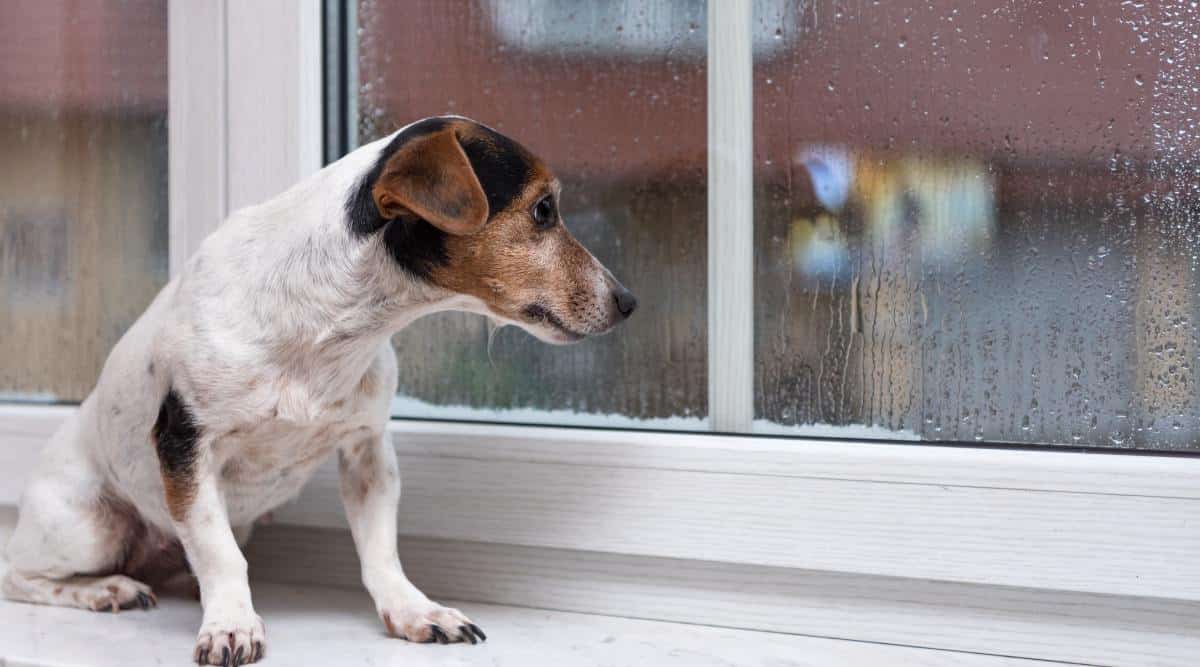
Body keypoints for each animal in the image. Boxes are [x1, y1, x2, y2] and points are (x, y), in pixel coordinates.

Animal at [0, 116, 638, 662]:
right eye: (543, 210)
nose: (629, 302)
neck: (333, 324)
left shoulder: (367, 451)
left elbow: (381, 552)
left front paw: (415, 612)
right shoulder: (186, 445)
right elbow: (219, 553)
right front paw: (231, 624)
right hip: (90, 527)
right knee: (20, 575)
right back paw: (105, 589)